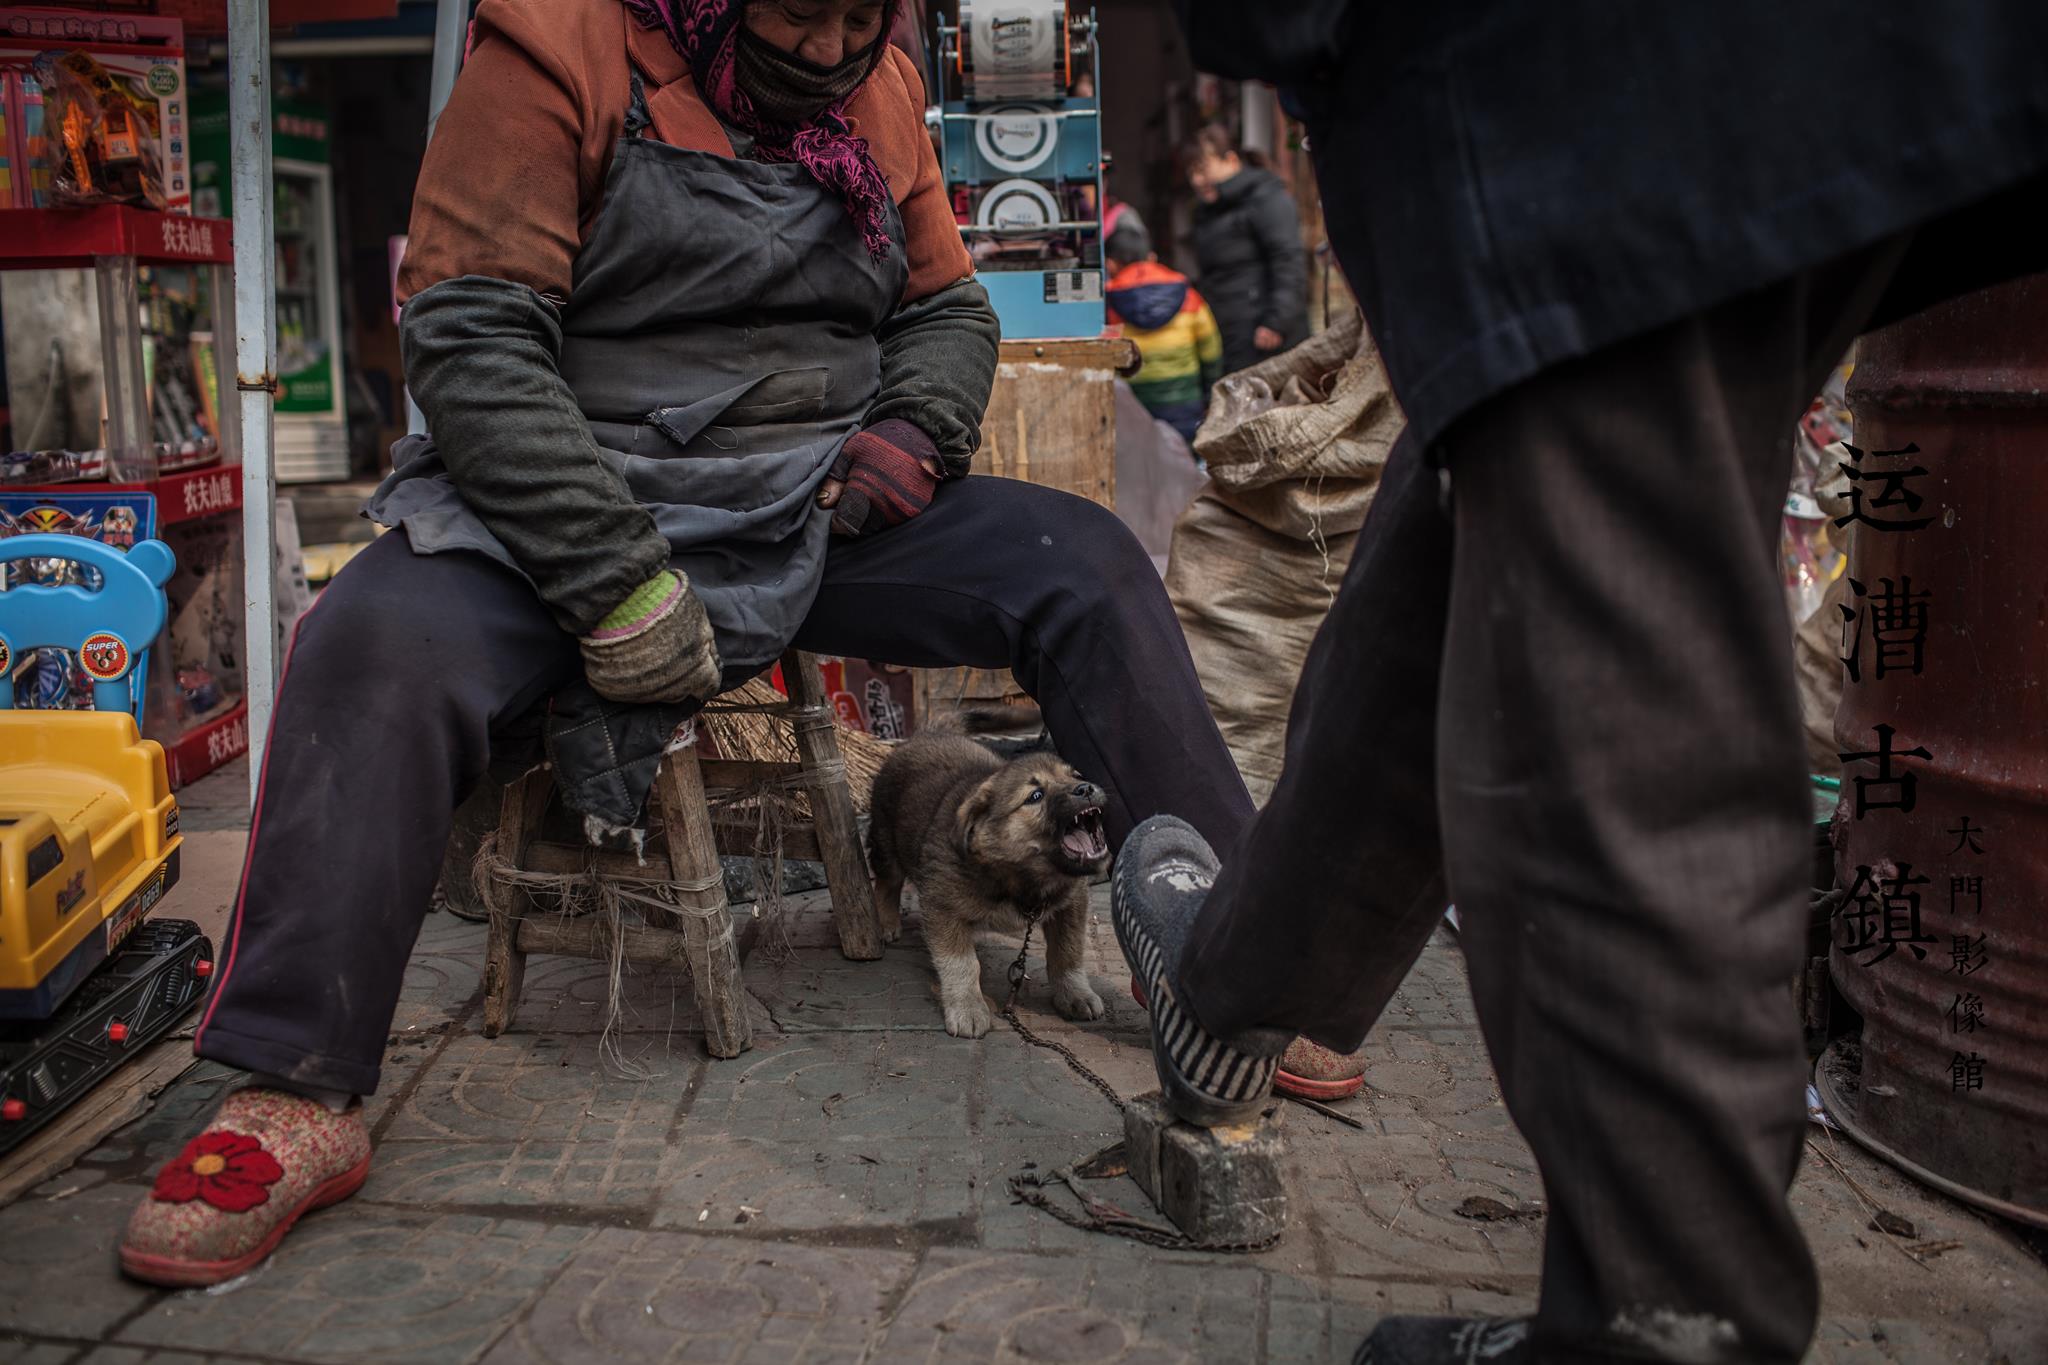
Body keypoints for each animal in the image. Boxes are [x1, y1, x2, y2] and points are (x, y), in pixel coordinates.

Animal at [867, 734, 1111, 1038]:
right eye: (1035, 796)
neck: (1021, 879)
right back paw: (886, 923)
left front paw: (1075, 994)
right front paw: (968, 1009)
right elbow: (962, 963)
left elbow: (1068, 952)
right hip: (885, 842)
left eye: (1075, 776)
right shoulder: (941, 905)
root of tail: (926, 736)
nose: (1086, 787)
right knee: (887, 883)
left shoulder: (1072, 903)